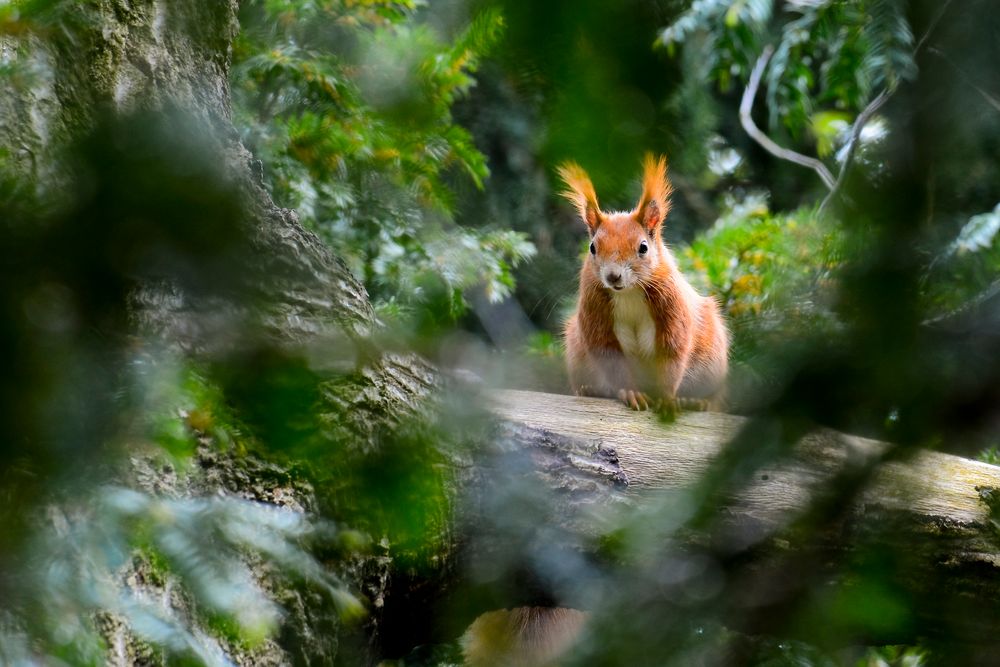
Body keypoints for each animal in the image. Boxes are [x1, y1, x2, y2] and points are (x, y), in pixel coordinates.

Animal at [560, 155, 732, 412]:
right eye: (592, 247)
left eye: (643, 247)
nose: (613, 276)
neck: (629, 292)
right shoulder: (595, 310)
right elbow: (610, 357)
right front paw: (631, 392)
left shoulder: (671, 306)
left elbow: (672, 355)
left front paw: (668, 398)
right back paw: (591, 390)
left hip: (712, 360)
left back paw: (694, 400)